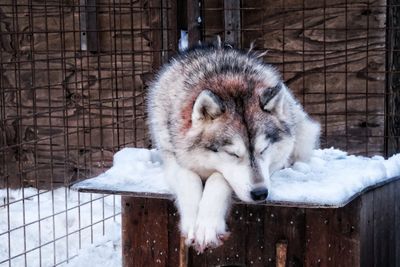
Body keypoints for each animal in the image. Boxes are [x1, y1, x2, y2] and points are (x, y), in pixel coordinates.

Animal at [147, 40, 318, 253]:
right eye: (232, 154)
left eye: (264, 150)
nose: (260, 194)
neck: (229, 82)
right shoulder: (172, 156)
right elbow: (187, 176)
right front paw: (192, 223)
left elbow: (219, 178)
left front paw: (207, 226)